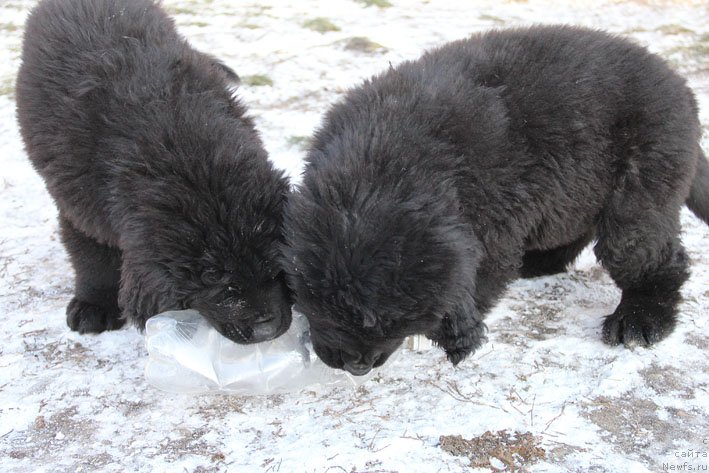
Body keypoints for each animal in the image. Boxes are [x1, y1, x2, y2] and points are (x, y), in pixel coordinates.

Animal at [18, 0, 292, 342]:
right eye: (210, 275)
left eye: (275, 261)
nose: (266, 330)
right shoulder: (80, 204)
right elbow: (91, 256)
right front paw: (93, 305)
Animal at [282, 25, 708, 374]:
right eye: (324, 307)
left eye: (395, 324)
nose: (357, 366)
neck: (385, 164)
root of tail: (683, 91)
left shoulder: (492, 228)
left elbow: (477, 281)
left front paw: (456, 334)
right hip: (582, 187)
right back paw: (538, 262)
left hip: (640, 188)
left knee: (656, 258)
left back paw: (640, 320)